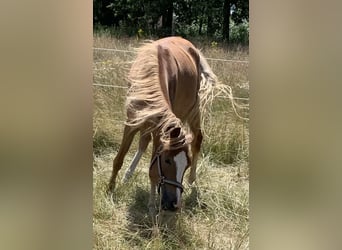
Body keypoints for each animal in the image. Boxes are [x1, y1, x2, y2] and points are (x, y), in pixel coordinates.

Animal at [108, 36, 218, 216]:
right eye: (167, 161)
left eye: (186, 164)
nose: (173, 204)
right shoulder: (133, 122)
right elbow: (119, 158)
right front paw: (110, 189)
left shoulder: (159, 132)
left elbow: (152, 168)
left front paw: (152, 205)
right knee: (143, 143)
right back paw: (128, 175)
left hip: (191, 111)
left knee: (197, 139)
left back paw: (192, 179)